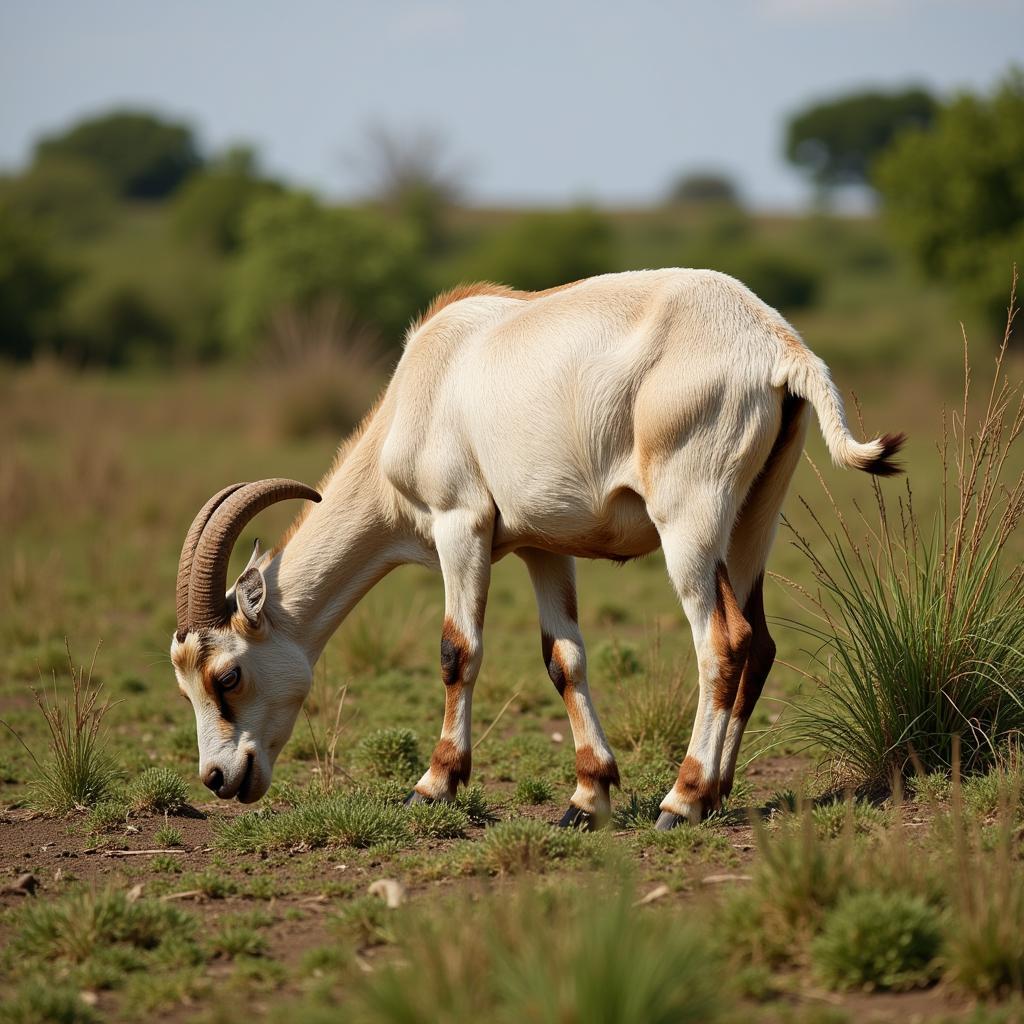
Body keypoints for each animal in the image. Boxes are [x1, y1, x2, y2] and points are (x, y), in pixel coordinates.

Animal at [169, 268, 905, 827]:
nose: (219, 778)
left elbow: (457, 651)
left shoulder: (460, 523)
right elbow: (564, 659)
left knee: (723, 642)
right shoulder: (544, 546)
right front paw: (586, 797)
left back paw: (682, 800)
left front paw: (433, 785)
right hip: (754, 520)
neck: (429, 378)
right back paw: (717, 793)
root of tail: (775, 342)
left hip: (689, 522)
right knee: (760, 642)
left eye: (226, 675)